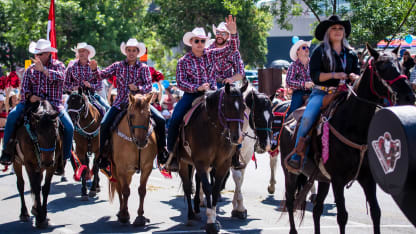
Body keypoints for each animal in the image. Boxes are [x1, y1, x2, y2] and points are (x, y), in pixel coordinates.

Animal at [11, 101, 62, 229]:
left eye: (55, 134)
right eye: (38, 134)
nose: (47, 162)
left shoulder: (52, 166)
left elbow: (45, 188)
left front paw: (43, 214)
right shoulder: (29, 164)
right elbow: (35, 187)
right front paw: (40, 218)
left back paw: (34, 209)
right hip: (17, 162)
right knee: (21, 185)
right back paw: (24, 213)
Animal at [108, 92, 158, 226]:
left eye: (149, 115)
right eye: (131, 115)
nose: (142, 142)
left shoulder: (147, 167)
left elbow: (142, 190)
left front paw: (140, 217)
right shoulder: (121, 168)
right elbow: (125, 191)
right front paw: (125, 215)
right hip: (116, 169)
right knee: (119, 188)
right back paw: (121, 212)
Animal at [175, 82, 247, 234]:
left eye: (244, 106)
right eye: (227, 106)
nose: (236, 137)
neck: (214, 130)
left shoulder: (223, 164)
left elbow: (215, 188)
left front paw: (214, 218)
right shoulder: (201, 162)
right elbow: (207, 188)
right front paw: (210, 222)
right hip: (183, 162)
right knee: (187, 187)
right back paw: (191, 215)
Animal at [280, 44, 416, 234]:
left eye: (403, 67)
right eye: (382, 67)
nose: (408, 97)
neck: (353, 124)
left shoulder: (367, 178)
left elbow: (376, 212)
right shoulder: (338, 180)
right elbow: (342, 216)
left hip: (322, 178)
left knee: (317, 209)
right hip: (290, 173)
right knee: (291, 202)